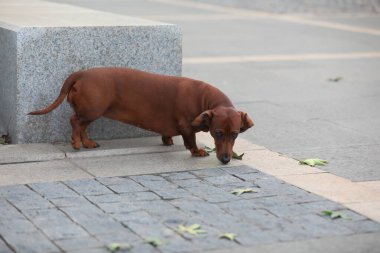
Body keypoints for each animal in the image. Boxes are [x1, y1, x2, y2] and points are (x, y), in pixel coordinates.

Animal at [29, 67, 252, 164]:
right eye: (217, 133)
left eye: (235, 134)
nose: (226, 160)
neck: (203, 98)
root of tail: (81, 74)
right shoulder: (187, 127)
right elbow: (191, 141)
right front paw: (198, 152)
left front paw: (167, 140)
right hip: (92, 110)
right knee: (75, 122)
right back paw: (76, 143)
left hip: (91, 112)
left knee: (82, 126)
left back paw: (88, 143)